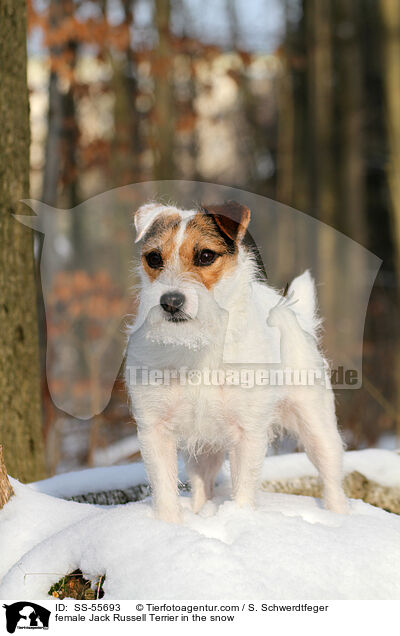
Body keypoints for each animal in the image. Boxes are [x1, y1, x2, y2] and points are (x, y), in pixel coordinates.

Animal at [125, 202, 346, 520]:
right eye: (154, 258)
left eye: (205, 256)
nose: (170, 302)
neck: (199, 344)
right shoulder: (155, 429)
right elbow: (164, 490)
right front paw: (169, 525)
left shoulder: (248, 433)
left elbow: (243, 487)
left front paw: (240, 519)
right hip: (204, 447)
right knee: (202, 485)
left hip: (317, 427)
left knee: (331, 478)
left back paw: (338, 516)